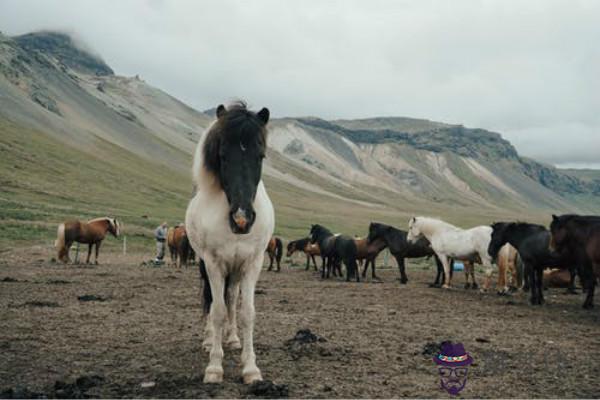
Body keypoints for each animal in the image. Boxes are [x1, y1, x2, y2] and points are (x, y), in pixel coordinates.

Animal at [185, 102, 274, 384]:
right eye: (222, 156)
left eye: (260, 156)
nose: (242, 219)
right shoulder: (213, 263)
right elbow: (217, 311)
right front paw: (214, 367)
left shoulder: (253, 263)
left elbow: (247, 312)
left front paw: (251, 368)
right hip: (206, 265)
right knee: (212, 300)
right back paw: (208, 341)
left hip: (235, 270)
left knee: (232, 297)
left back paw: (233, 339)